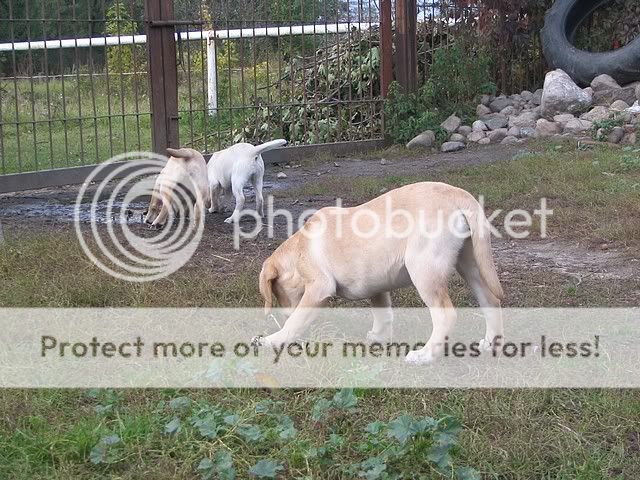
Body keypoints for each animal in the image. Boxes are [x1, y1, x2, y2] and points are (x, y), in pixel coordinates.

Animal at [257, 181, 504, 365]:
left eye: (277, 293)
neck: (299, 248)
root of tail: (458, 194)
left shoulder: (318, 287)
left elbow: (296, 321)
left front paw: (271, 340)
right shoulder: (375, 283)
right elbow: (382, 312)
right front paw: (379, 337)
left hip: (423, 269)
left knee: (446, 315)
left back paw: (425, 356)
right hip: (471, 264)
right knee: (491, 301)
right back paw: (490, 343)